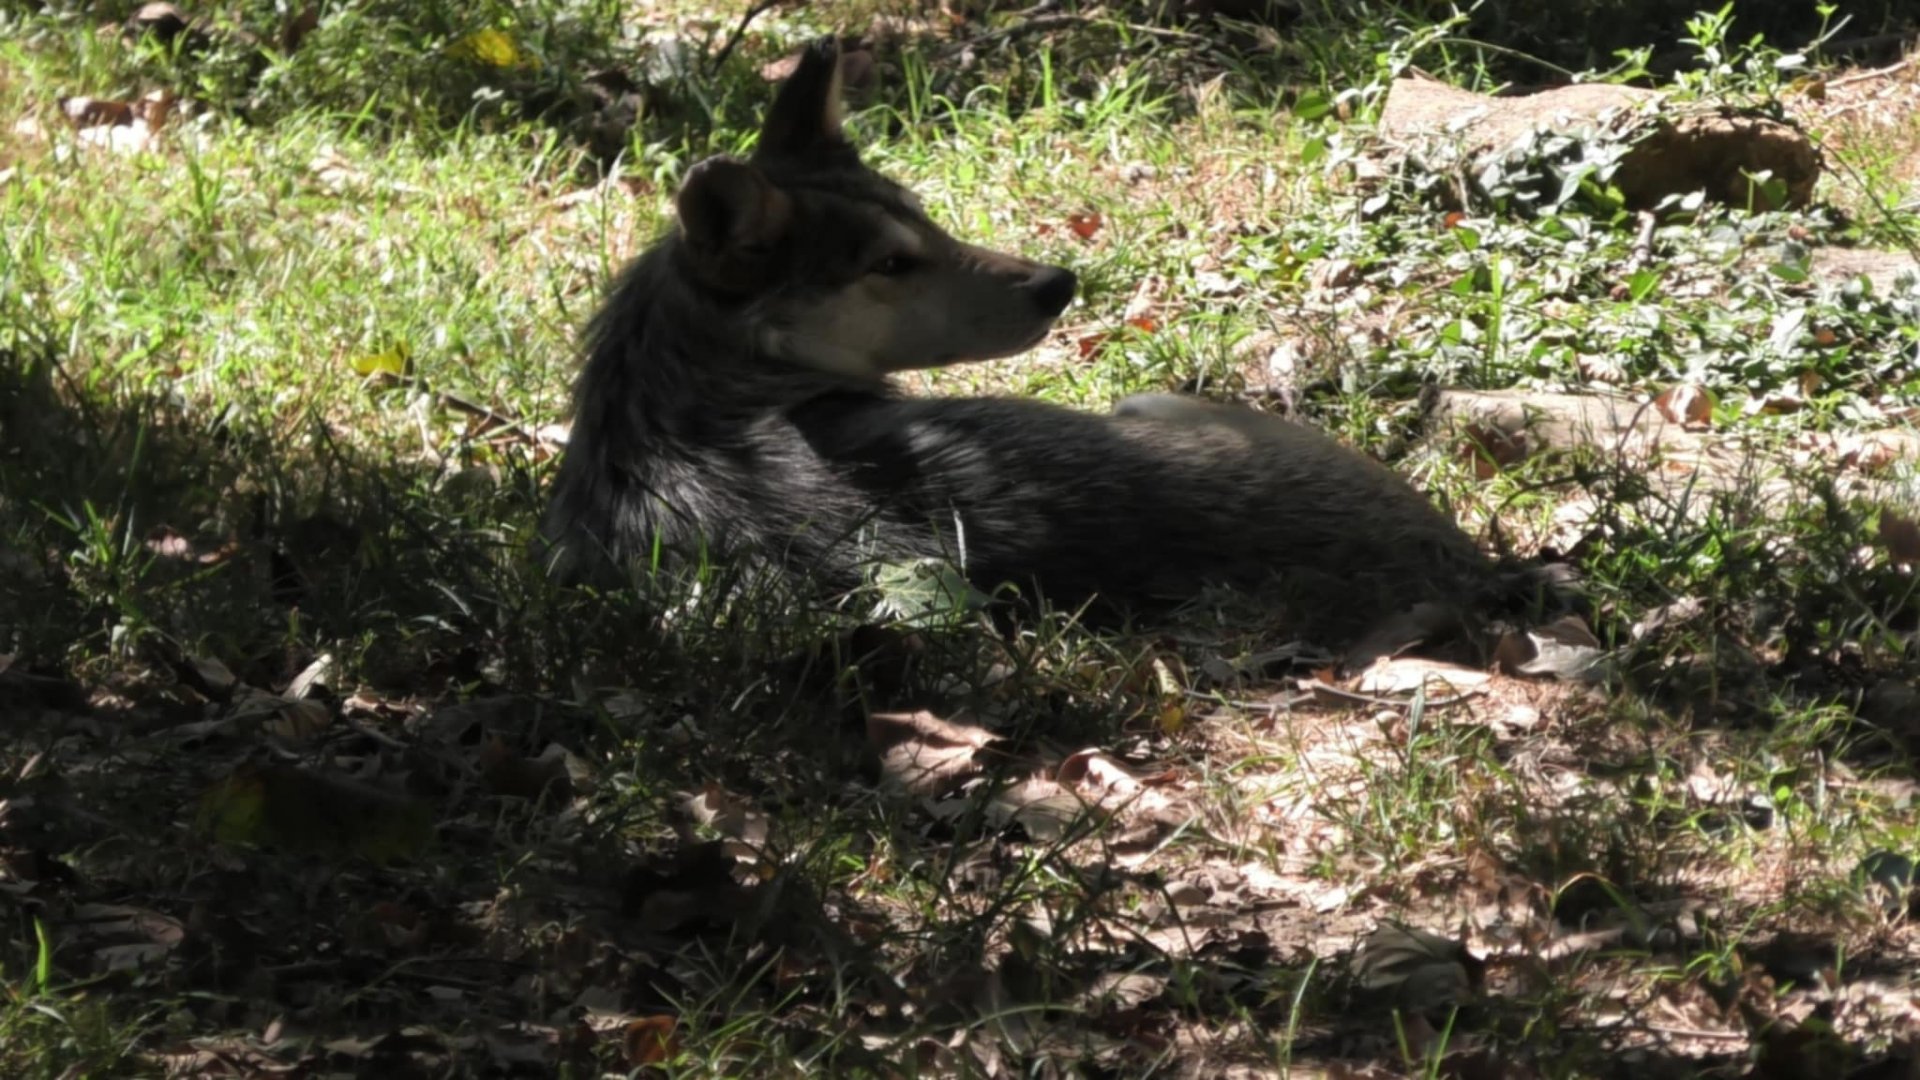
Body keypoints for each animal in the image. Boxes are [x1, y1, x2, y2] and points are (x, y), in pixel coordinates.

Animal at [540, 38, 1546, 645]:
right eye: (892, 264)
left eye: (924, 221)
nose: (1061, 284)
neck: (680, 402)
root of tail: (1472, 572)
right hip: (1159, 405)